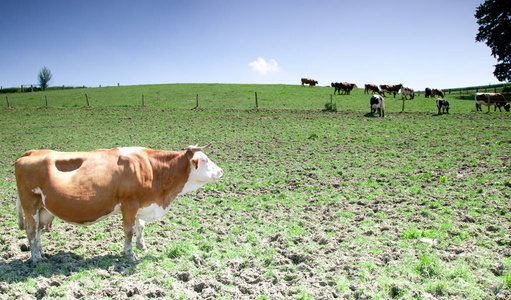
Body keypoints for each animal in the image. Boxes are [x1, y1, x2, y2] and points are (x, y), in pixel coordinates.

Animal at [15, 144, 223, 262]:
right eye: (205, 160)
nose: (221, 171)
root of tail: (30, 153)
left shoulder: (141, 203)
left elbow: (140, 226)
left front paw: (142, 246)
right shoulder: (129, 204)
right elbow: (129, 230)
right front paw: (130, 254)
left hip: (42, 208)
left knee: (38, 231)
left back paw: (41, 253)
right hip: (29, 203)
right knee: (31, 230)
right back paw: (36, 258)